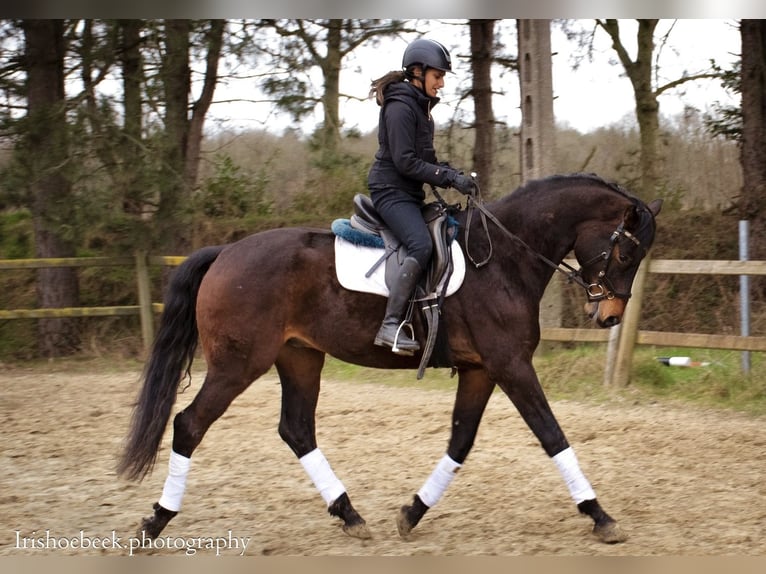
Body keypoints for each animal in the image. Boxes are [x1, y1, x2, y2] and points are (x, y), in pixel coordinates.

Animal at [117, 173, 664, 548]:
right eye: (624, 254)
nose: (609, 315)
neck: (503, 259)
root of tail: (226, 252)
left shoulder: (482, 369)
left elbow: (461, 442)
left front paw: (412, 512)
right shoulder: (510, 365)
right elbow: (553, 435)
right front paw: (600, 516)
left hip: (299, 357)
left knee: (297, 429)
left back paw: (350, 515)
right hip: (238, 365)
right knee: (190, 424)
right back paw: (156, 520)